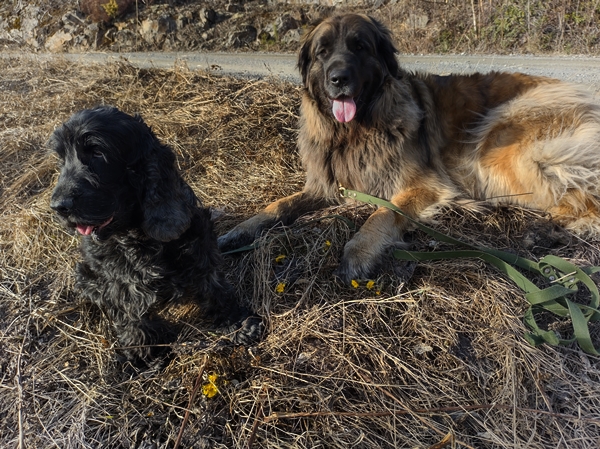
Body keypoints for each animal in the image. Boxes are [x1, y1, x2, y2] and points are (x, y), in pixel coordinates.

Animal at [48, 106, 260, 364]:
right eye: (61, 159)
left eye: (97, 152)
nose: (58, 206)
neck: (138, 237)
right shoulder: (119, 280)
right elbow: (130, 311)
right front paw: (146, 352)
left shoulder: (200, 247)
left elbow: (213, 285)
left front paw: (237, 321)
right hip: (84, 273)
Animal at [218, 13, 600, 280]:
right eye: (322, 52)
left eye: (360, 47)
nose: (338, 79)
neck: (355, 132)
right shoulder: (326, 186)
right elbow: (278, 205)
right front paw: (240, 230)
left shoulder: (422, 185)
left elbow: (384, 212)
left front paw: (360, 250)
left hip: (499, 144)